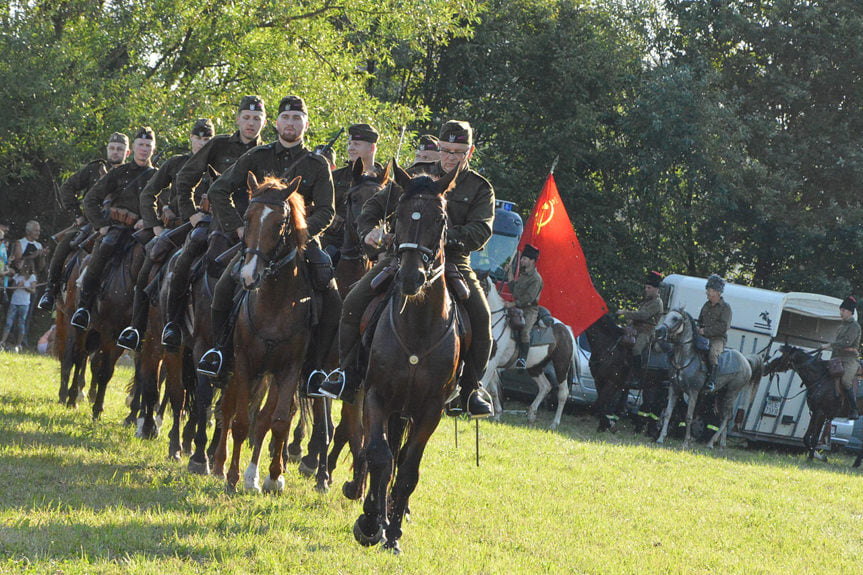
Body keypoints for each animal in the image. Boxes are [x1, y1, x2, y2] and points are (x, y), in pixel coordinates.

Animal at [352, 164, 462, 556]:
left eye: (441, 219)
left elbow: (408, 470)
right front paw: (371, 523)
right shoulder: (376, 397)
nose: (411, 277)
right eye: (397, 215)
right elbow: (378, 456)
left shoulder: (430, 411)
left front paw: (394, 532)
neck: (418, 328)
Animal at [482, 276, 576, 430]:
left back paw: (554, 424)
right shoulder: (490, 362)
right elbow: (493, 389)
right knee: (545, 386)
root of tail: (566, 329)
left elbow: (484, 384)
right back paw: (531, 415)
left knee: (562, 393)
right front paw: (496, 415)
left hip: (561, 366)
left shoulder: (492, 362)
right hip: (535, 367)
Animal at [656, 310, 756, 450]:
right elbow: (668, 413)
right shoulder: (674, 388)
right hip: (722, 394)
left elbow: (689, 417)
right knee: (726, 416)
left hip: (732, 392)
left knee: (727, 417)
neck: (686, 358)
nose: (658, 331)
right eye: (666, 316)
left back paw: (711, 443)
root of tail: (746, 360)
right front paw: (661, 438)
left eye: (675, 319)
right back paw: (721, 445)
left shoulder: (694, 392)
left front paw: (686, 443)